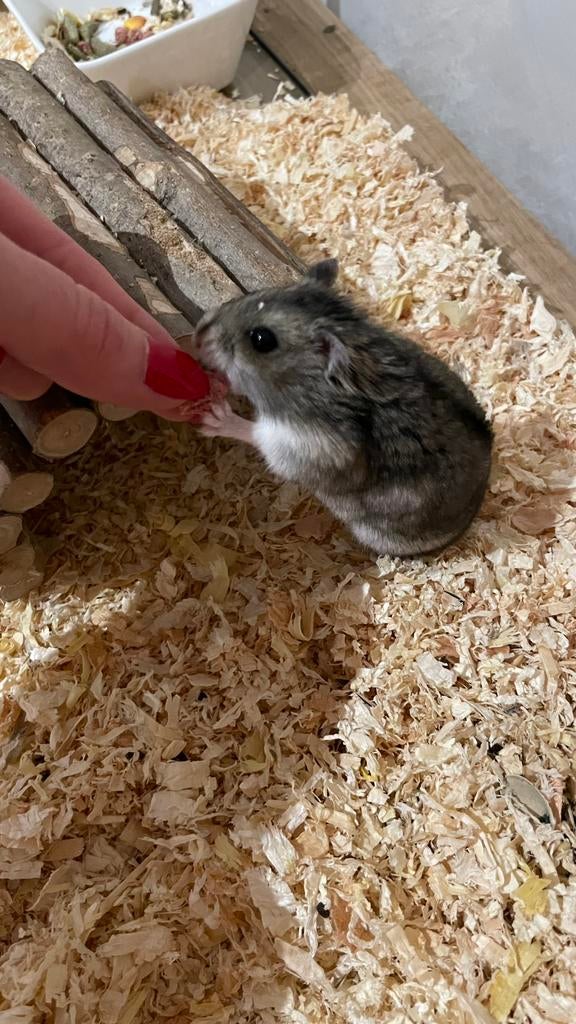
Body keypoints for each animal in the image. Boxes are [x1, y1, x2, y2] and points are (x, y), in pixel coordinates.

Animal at [195, 259, 492, 557]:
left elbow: (257, 435)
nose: (199, 332)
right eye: (255, 294)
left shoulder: (310, 446)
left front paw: (214, 418)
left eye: (261, 339)